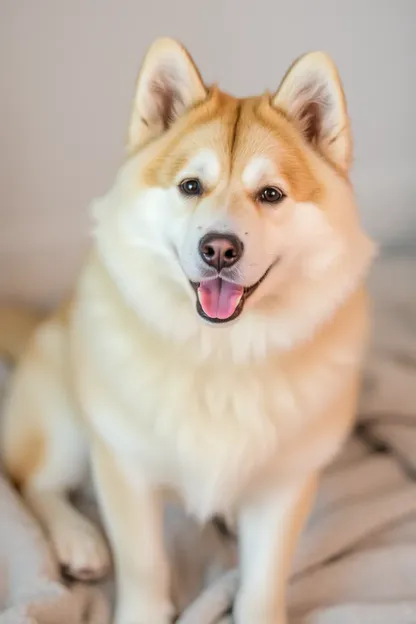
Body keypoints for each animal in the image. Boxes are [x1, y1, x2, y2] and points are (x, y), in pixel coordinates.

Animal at [0, 39, 376, 624]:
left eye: (271, 194)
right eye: (191, 186)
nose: (219, 248)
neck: (218, 353)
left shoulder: (285, 487)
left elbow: (263, 581)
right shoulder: (125, 466)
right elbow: (145, 565)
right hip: (64, 414)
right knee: (33, 483)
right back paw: (77, 537)